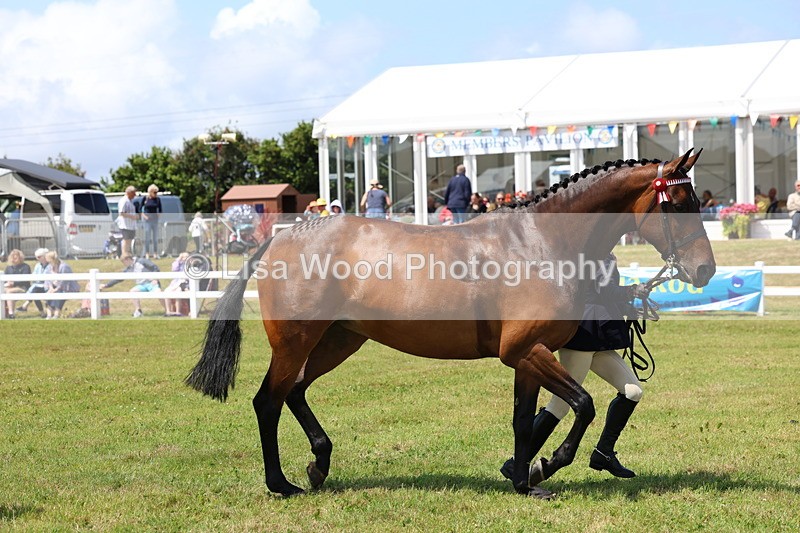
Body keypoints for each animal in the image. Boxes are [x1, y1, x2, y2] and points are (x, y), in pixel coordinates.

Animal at [186, 149, 716, 498]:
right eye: (678, 204)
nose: (705, 270)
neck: (542, 241)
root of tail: (282, 237)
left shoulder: (528, 356)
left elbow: (524, 419)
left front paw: (523, 480)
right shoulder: (524, 352)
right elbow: (583, 406)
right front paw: (547, 467)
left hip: (339, 340)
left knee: (294, 391)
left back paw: (319, 465)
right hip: (296, 342)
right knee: (268, 401)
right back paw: (282, 483)